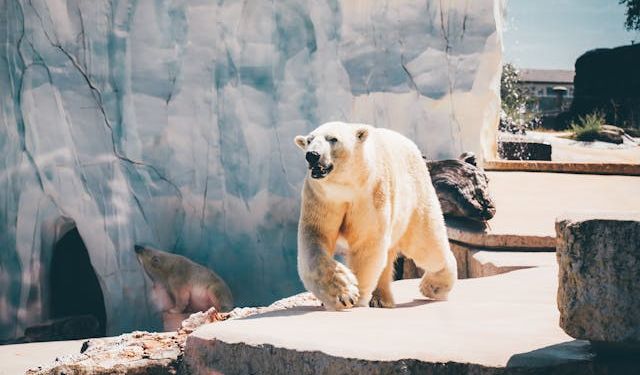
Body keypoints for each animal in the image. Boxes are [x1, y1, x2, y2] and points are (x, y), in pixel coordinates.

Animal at [292, 122, 458, 310]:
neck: (346, 187)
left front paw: (355, 298)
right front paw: (344, 294)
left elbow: (367, 241)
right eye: (309, 140)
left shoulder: (370, 194)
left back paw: (432, 287)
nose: (312, 155)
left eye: (333, 139)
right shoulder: (322, 198)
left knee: (426, 245)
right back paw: (381, 299)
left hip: (415, 198)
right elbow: (315, 238)